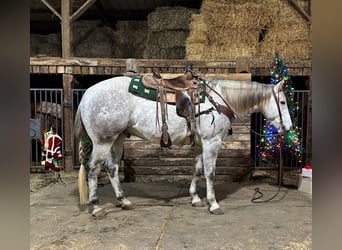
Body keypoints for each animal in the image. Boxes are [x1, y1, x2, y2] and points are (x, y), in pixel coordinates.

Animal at [74, 75, 292, 216]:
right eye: (282, 102)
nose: (288, 128)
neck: (219, 100)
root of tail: (86, 95)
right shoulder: (212, 141)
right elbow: (210, 172)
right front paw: (213, 204)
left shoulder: (200, 144)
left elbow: (197, 170)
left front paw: (195, 199)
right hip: (103, 141)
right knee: (93, 169)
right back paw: (96, 207)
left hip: (117, 139)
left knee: (111, 168)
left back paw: (123, 201)